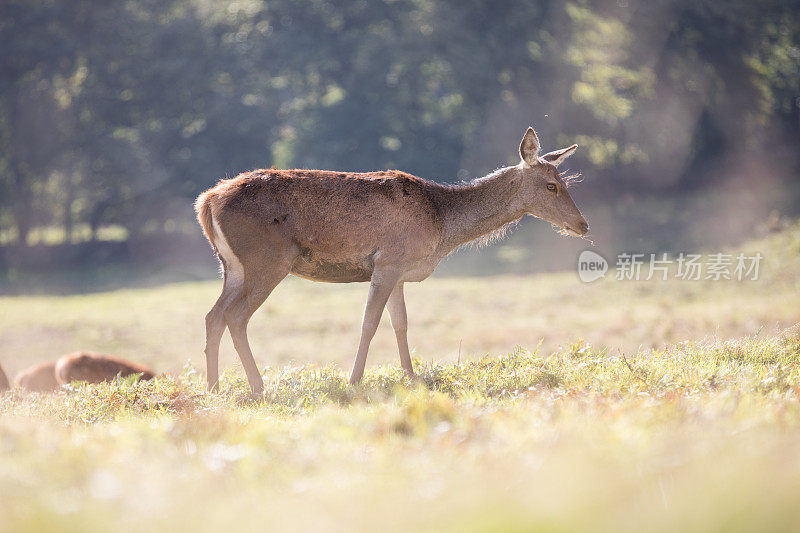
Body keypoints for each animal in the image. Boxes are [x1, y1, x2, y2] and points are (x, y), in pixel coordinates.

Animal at [197, 124, 592, 392]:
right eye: (551, 185)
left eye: (567, 181)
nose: (583, 224)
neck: (441, 225)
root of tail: (207, 201)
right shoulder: (387, 261)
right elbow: (369, 323)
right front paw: (354, 381)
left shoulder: (400, 272)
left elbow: (400, 324)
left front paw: (411, 377)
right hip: (268, 259)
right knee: (235, 316)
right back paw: (257, 385)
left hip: (232, 266)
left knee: (213, 315)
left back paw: (214, 388)